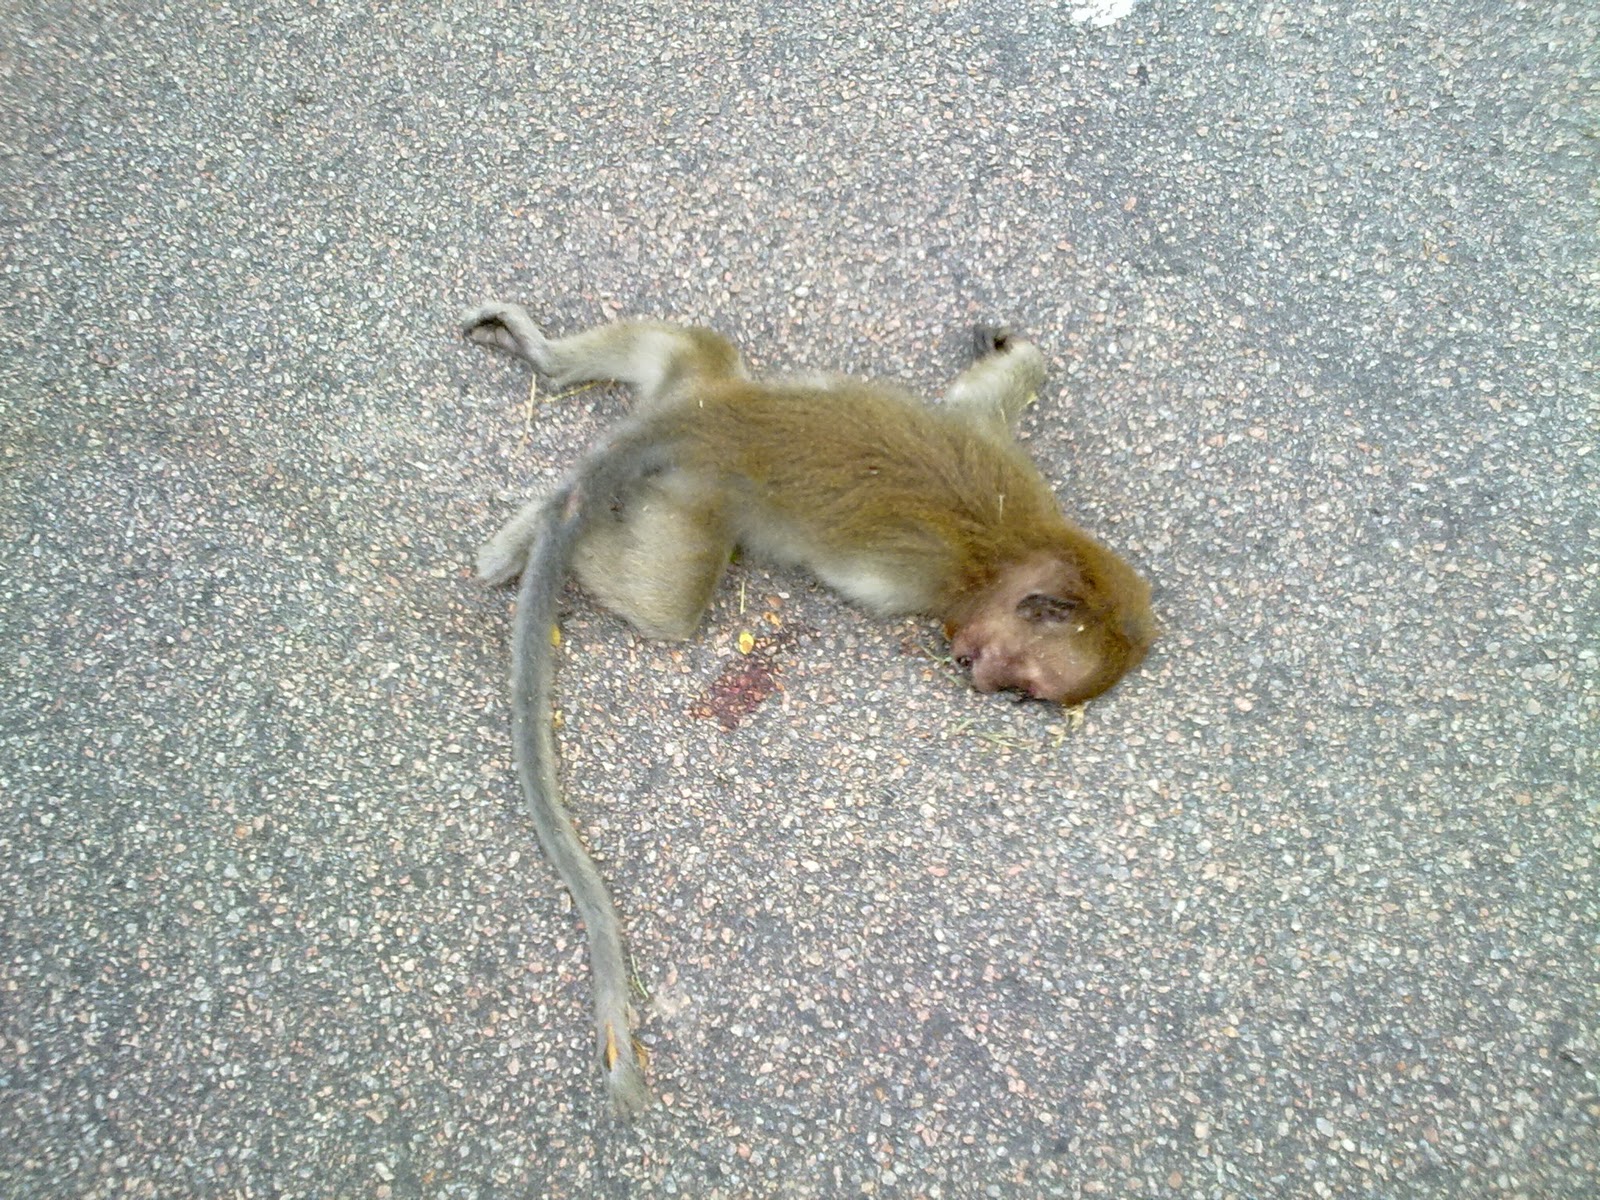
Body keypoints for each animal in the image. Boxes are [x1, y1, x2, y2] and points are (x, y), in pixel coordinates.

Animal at [461, 300, 1155, 1114]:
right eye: (1017, 677)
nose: (978, 679)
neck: (1017, 551)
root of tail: (707, 424)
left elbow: (983, 398)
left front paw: (1013, 350)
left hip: (693, 388)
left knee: (693, 349)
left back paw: (546, 384)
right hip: (699, 494)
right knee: (667, 604)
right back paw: (545, 522)